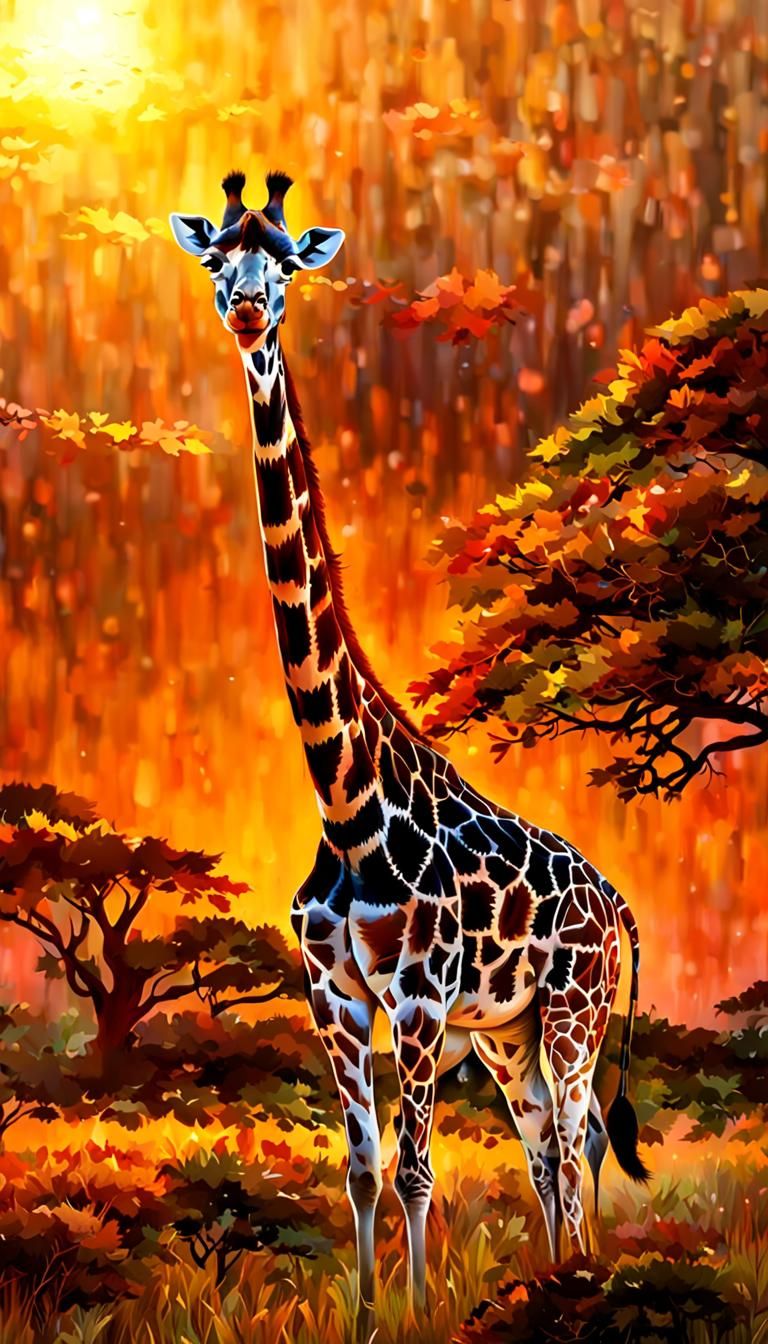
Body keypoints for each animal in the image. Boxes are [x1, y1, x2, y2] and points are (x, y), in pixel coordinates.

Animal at [170, 171, 650, 1334]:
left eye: (283, 264)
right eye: (217, 259)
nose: (245, 313)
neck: (345, 801)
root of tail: (617, 902)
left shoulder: (422, 997)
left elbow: (420, 1167)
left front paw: (423, 1312)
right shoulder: (334, 994)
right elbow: (360, 1166)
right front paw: (364, 1315)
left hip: (571, 1012)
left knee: (578, 1144)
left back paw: (577, 1283)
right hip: (511, 1033)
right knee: (546, 1152)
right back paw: (556, 1281)